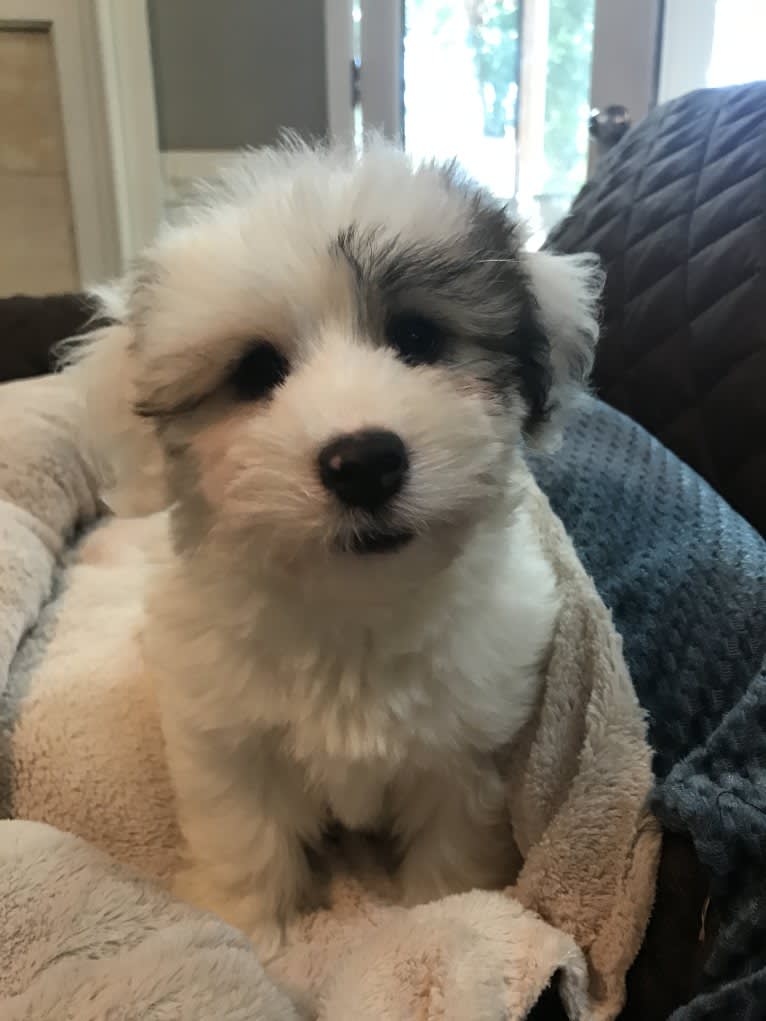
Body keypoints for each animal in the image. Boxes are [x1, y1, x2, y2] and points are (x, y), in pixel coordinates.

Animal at [68, 139, 604, 951]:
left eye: (416, 338)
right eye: (255, 370)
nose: (365, 462)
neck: (352, 605)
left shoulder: (466, 751)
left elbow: (452, 843)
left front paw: (444, 914)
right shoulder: (228, 742)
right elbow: (246, 839)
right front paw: (250, 934)